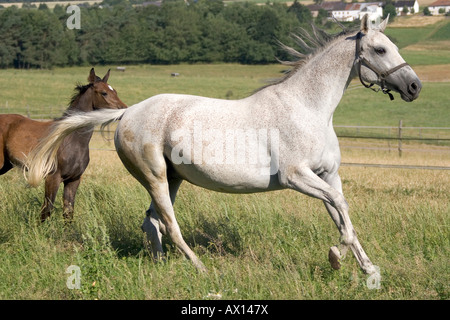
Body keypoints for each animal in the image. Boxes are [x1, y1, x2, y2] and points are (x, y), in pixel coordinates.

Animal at [26, 15, 422, 276]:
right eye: (380, 49)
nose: (414, 87)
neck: (308, 108)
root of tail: (127, 114)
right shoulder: (297, 177)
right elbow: (341, 210)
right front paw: (336, 256)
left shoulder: (328, 176)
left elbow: (342, 212)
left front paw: (369, 270)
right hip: (155, 176)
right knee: (168, 223)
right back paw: (200, 268)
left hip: (172, 178)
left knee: (150, 222)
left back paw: (160, 266)